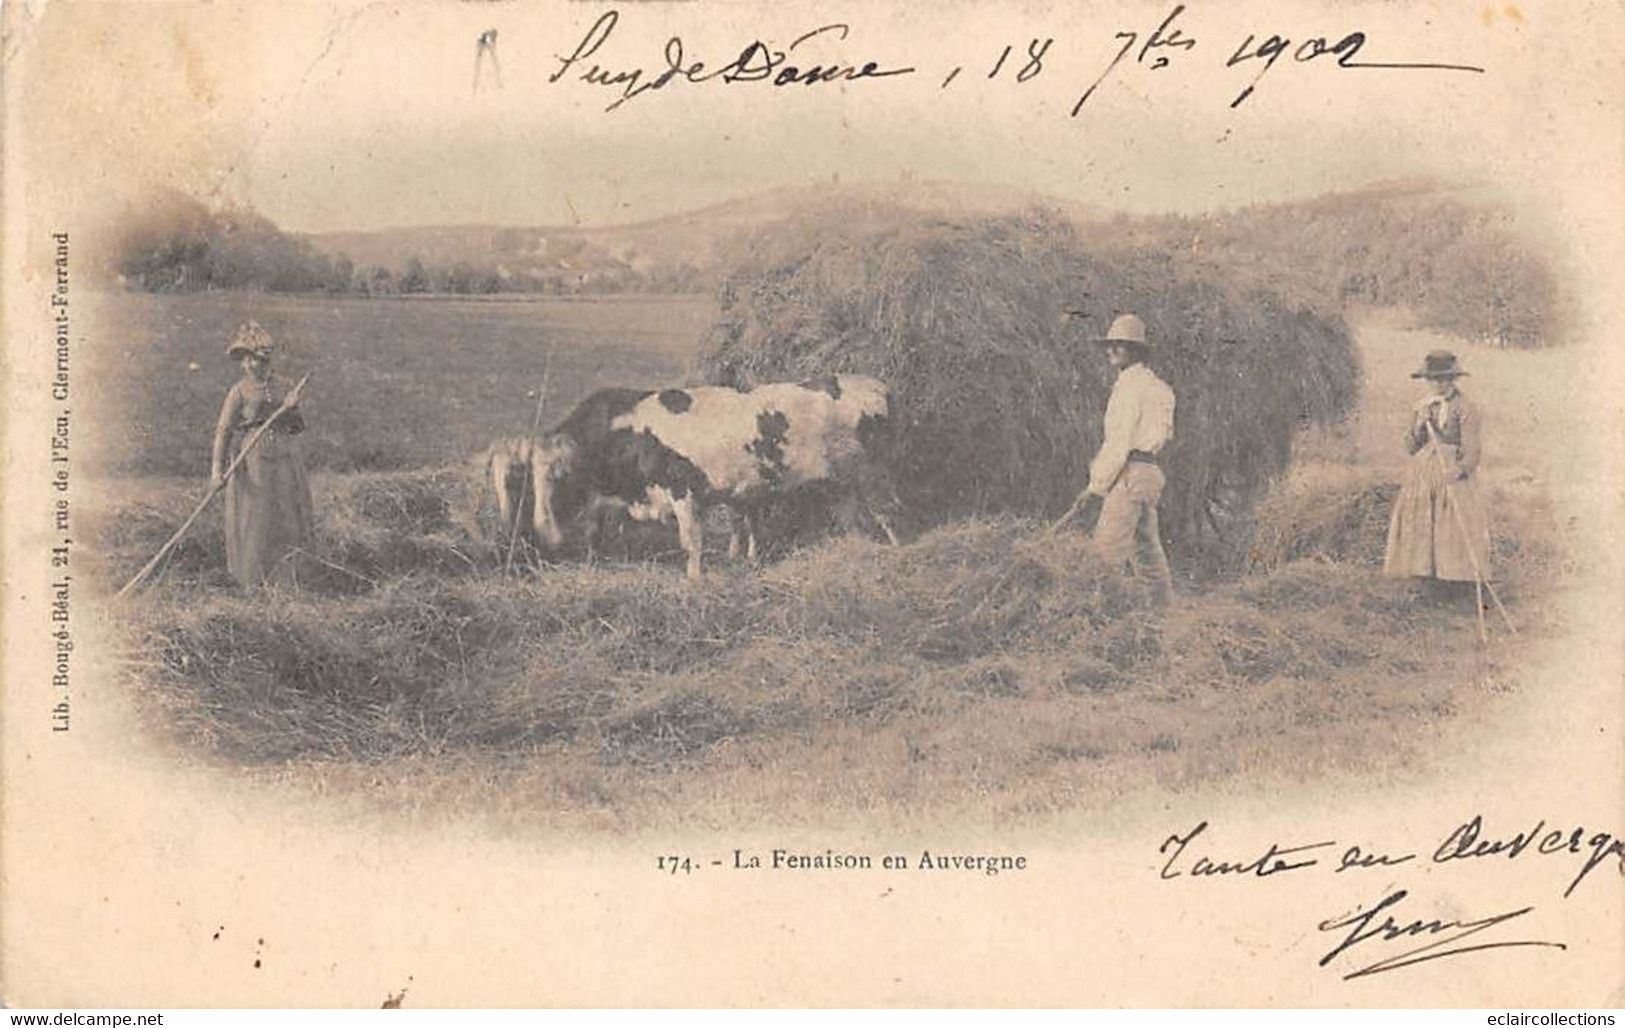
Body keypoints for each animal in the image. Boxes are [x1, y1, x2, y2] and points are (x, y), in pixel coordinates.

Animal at [487, 373, 910, 578]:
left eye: (554, 476)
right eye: (513, 482)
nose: (532, 531)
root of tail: (874, 383)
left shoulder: (684, 491)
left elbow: (691, 542)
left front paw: (694, 581)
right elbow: (595, 531)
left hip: (875, 474)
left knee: (890, 514)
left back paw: (900, 555)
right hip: (843, 483)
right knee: (854, 519)